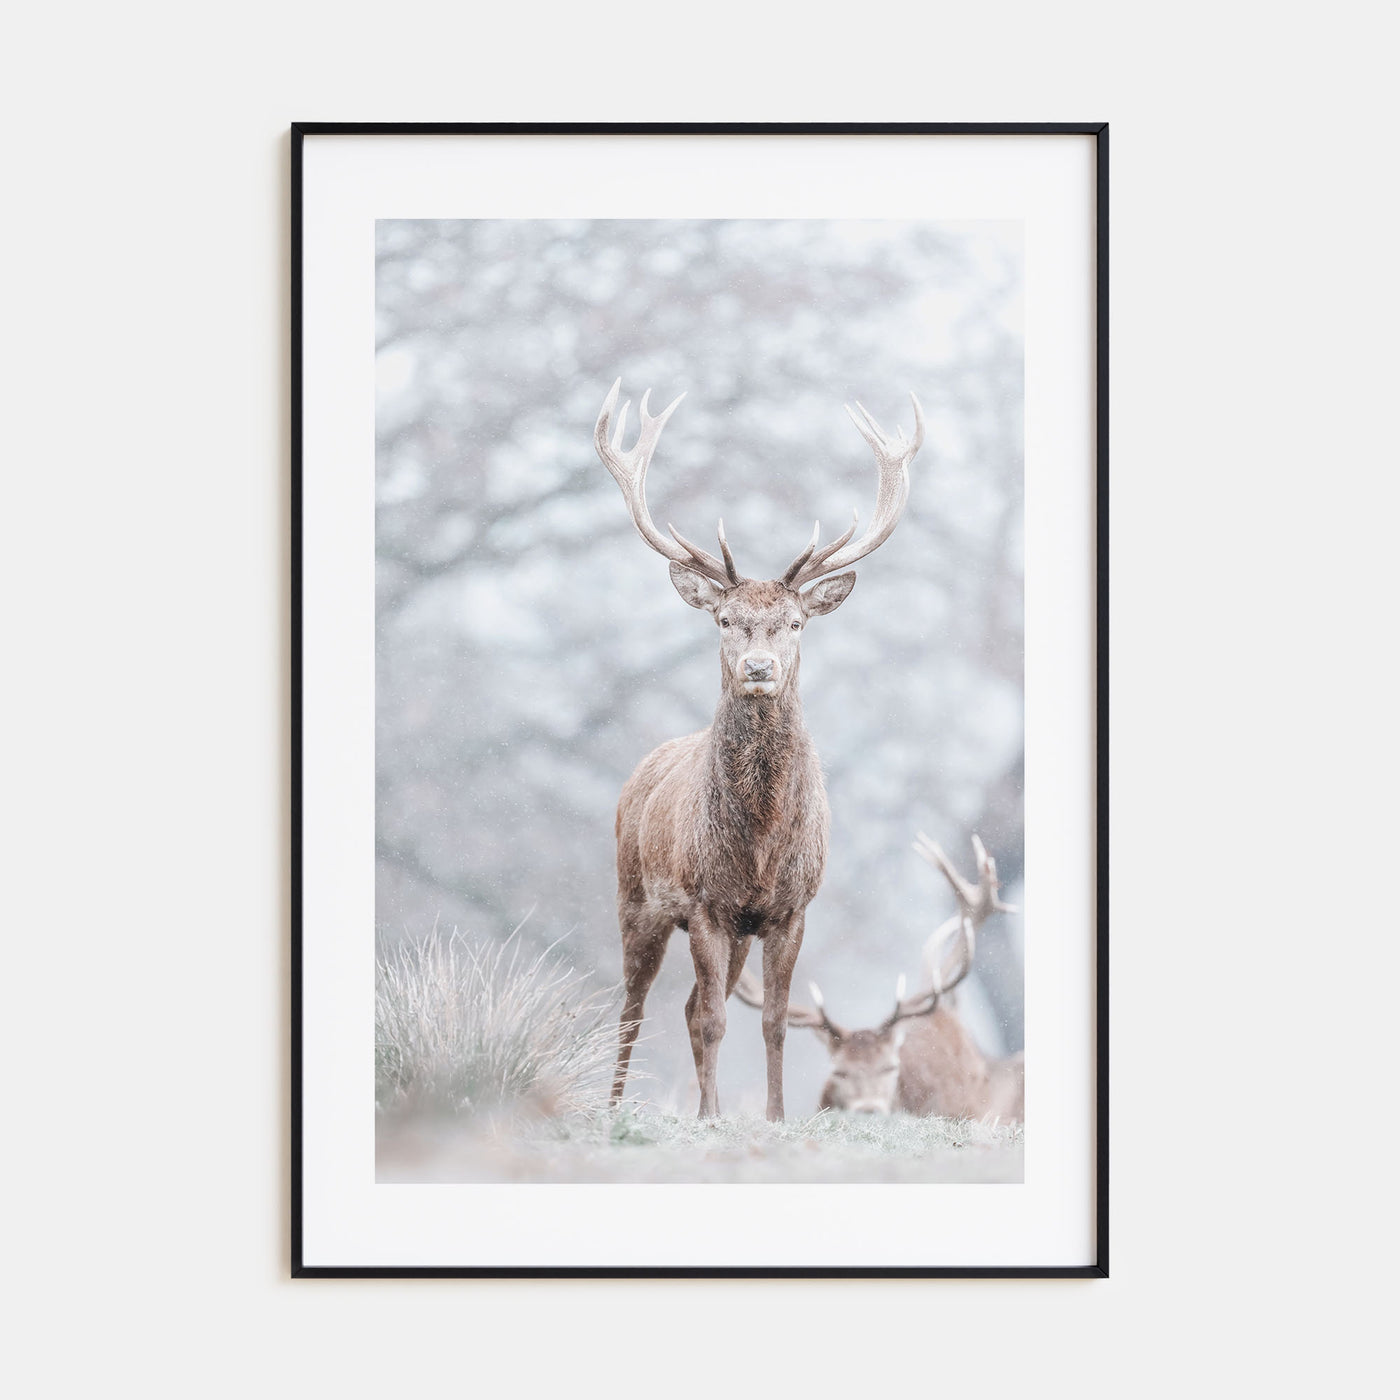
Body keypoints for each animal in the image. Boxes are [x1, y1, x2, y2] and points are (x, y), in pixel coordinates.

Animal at [595, 379, 925, 1120]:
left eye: (795, 622)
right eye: (725, 619)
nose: (758, 667)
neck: (759, 840)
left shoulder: (789, 908)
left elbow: (772, 1021)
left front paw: (772, 1116)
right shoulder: (704, 903)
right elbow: (719, 1020)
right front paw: (714, 1119)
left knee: (689, 1006)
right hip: (636, 897)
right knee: (635, 1007)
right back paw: (618, 1104)